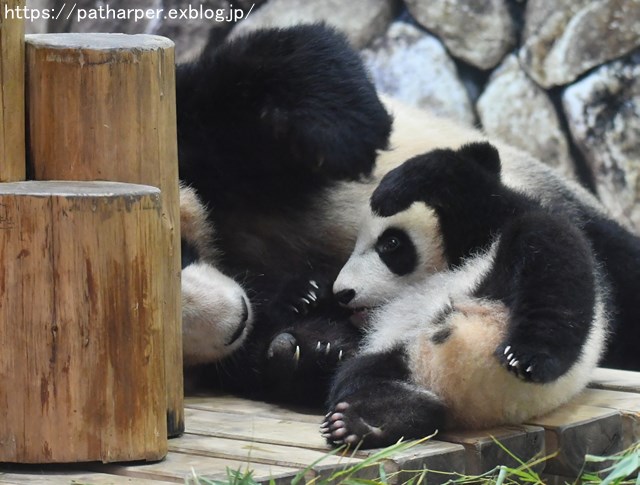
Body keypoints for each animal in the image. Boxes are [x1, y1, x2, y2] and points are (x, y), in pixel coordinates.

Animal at [322, 142, 608, 448]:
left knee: (548, 260)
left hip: (505, 283)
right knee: (361, 380)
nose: (343, 293)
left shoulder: (490, 225)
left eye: (390, 243)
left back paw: (528, 356)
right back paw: (368, 423)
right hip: (395, 356)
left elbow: (476, 195)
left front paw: (390, 192)